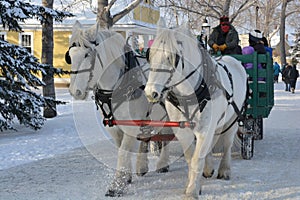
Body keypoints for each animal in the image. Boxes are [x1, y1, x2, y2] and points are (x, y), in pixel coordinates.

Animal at [67, 20, 171, 197]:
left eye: (87, 55)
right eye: (70, 56)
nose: (76, 91)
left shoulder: (131, 126)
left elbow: (123, 151)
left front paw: (116, 185)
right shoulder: (114, 126)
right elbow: (121, 148)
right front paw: (126, 177)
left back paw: (163, 163)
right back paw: (142, 166)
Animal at [145, 19, 246, 200]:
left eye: (172, 57)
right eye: (150, 55)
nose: (151, 92)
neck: (189, 94)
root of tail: (233, 60)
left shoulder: (205, 129)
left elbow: (197, 158)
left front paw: (192, 190)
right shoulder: (182, 130)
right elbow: (190, 157)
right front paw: (192, 185)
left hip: (232, 119)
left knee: (227, 143)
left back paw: (224, 170)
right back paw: (209, 168)